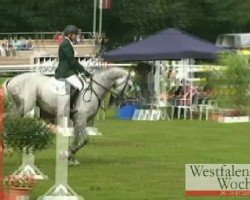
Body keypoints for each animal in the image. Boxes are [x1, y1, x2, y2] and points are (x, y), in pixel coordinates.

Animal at [2, 67, 134, 161]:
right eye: (130, 86)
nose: (124, 100)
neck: (95, 88)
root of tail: (11, 80)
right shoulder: (81, 118)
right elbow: (83, 140)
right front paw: (70, 152)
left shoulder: (81, 120)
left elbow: (76, 138)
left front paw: (70, 155)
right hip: (24, 107)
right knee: (8, 121)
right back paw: (7, 149)